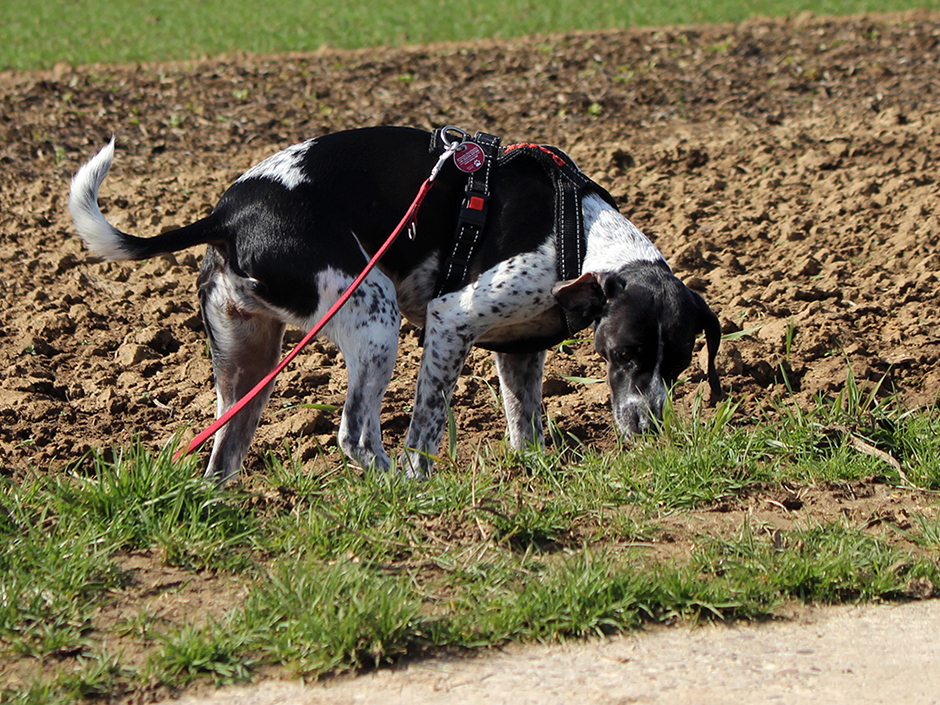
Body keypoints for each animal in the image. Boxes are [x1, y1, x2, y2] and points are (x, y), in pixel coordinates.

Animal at [70, 125, 724, 484]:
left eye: (677, 366)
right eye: (626, 355)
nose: (649, 428)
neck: (582, 237)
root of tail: (226, 215)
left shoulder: (518, 350)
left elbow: (525, 424)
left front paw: (534, 474)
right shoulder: (450, 322)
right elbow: (427, 426)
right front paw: (422, 475)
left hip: (247, 364)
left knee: (222, 459)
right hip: (374, 319)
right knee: (355, 436)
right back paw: (397, 488)